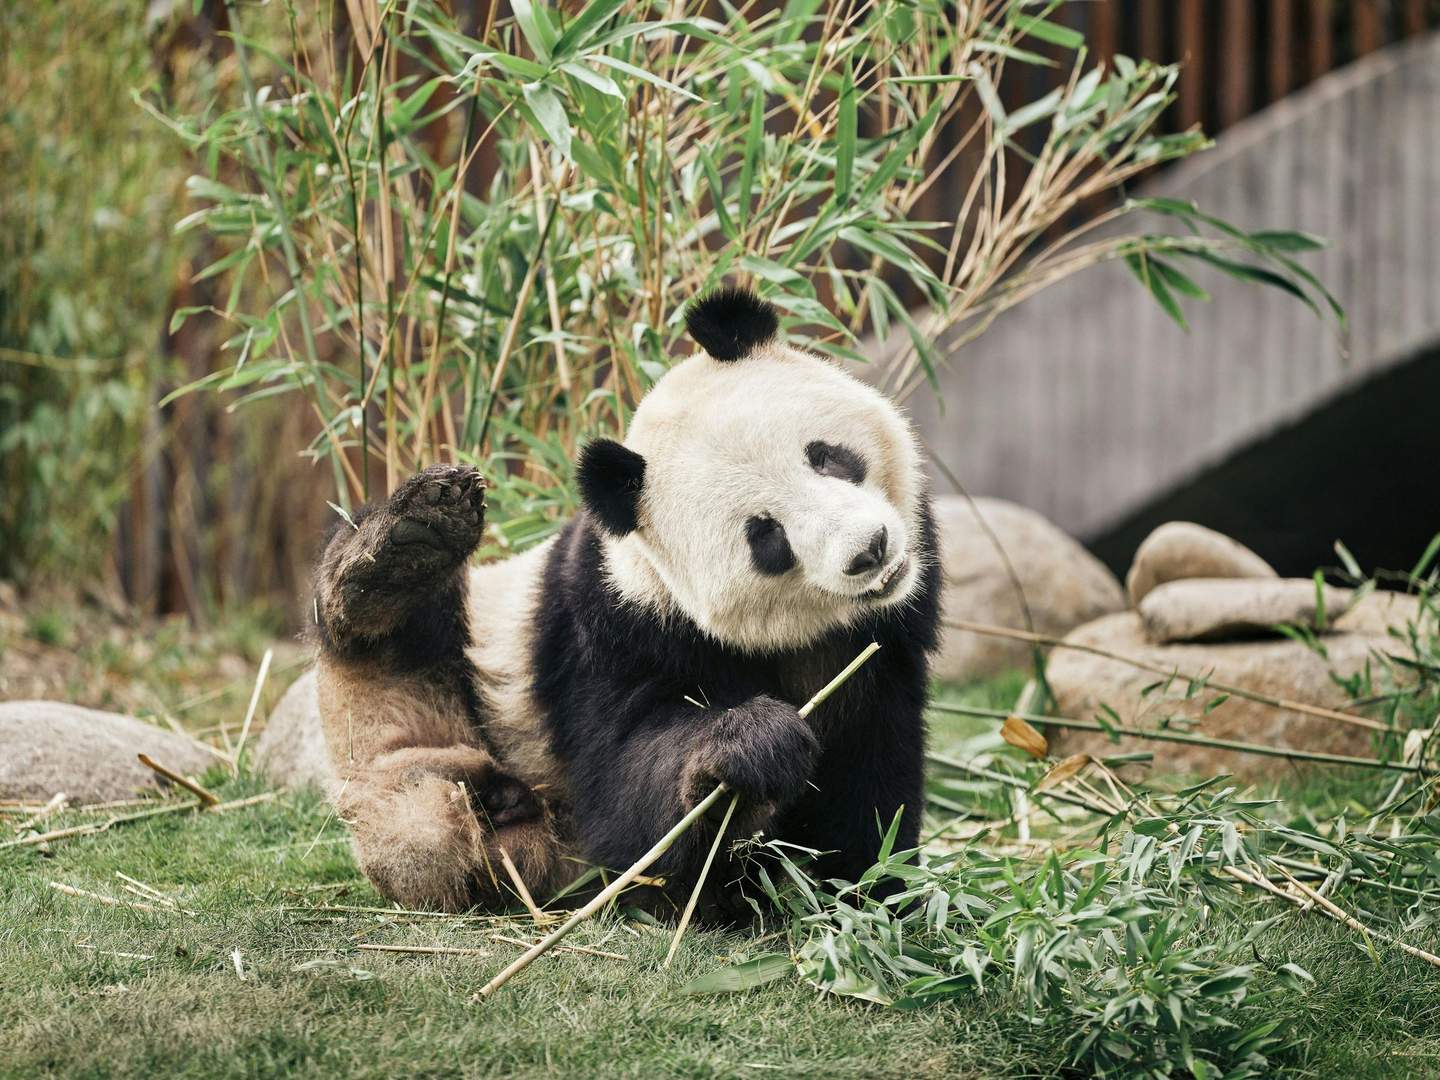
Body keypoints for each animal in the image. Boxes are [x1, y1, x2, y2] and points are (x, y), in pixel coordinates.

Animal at [312, 286, 940, 914]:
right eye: (767, 536)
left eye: (824, 455)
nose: (869, 550)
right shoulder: (611, 630)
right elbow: (627, 800)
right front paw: (749, 751)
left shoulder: (880, 643)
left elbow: (871, 768)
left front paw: (871, 889)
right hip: (425, 707)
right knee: (420, 800)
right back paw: (408, 548)